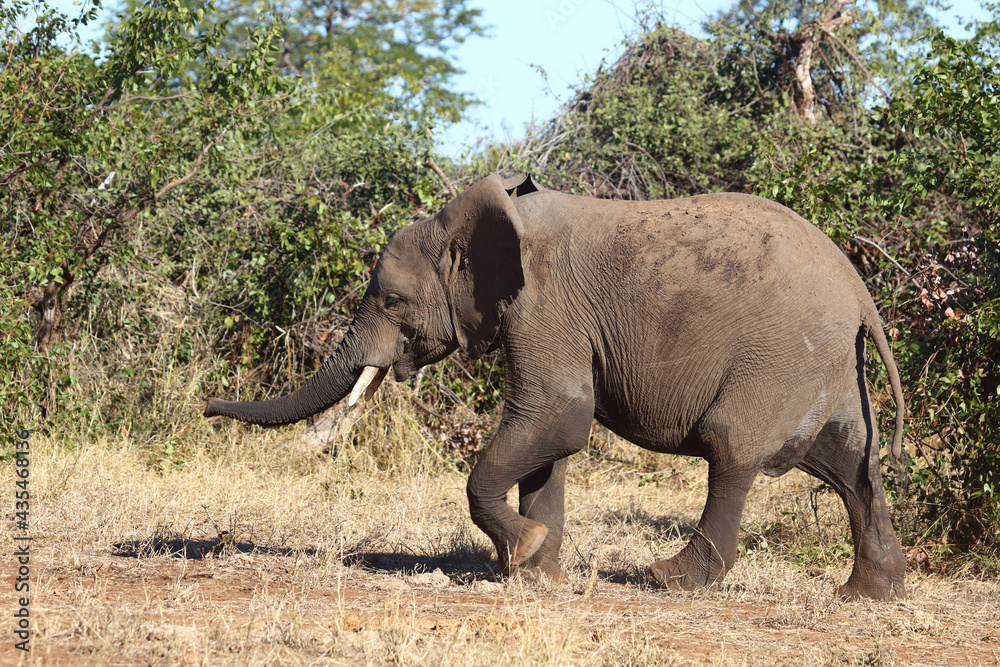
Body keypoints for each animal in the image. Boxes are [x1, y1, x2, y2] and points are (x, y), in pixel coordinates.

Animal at [205, 173, 907, 601]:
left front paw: (525, 551)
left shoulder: (544, 308)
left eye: (392, 300)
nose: (209, 410)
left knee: (732, 448)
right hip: (824, 367)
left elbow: (559, 416)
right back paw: (867, 594)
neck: (477, 220)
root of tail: (862, 297)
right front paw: (534, 575)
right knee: (851, 466)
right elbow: (553, 440)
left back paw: (669, 579)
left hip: (780, 358)